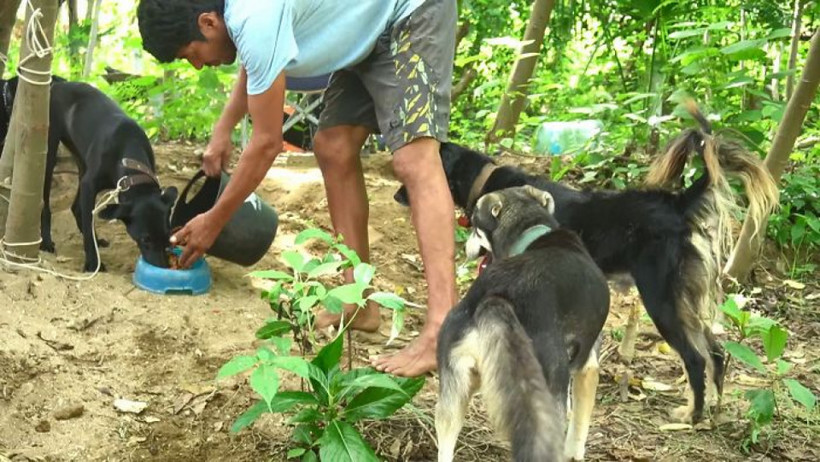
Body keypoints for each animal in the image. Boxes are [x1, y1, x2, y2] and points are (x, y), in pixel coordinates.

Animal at [3, 76, 177, 270]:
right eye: (145, 239)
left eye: (168, 237)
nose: (163, 267)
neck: (129, 158)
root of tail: (60, 84)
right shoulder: (90, 185)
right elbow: (88, 224)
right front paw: (93, 263)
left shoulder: (89, 182)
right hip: (49, 154)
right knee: (48, 204)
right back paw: (47, 242)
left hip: (82, 161)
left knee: (76, 207)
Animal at [404, 104, 780, 422]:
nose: (397, 193)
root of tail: (676, 203)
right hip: (684, 297)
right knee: (714, 351)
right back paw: (712, 409)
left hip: (661, 300)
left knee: (695, 357)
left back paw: (692, 415)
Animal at [436, 186, 608, 460]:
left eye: (474, 227)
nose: (465, 250)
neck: (533, 233)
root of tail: (496, 299)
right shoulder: (588, 366)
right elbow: (579, 428)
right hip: (548, 399)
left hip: (453, 394)